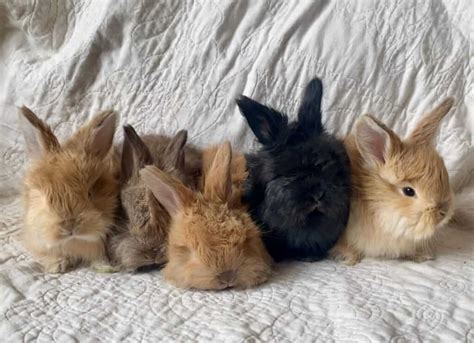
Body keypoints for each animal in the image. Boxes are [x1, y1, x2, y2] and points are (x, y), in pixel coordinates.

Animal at [19, 107, 120, 274]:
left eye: (90, 193)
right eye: (46, 199)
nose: (69, 226)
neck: (73, 241)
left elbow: (98, 257)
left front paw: (106, 267)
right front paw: (57, 266)